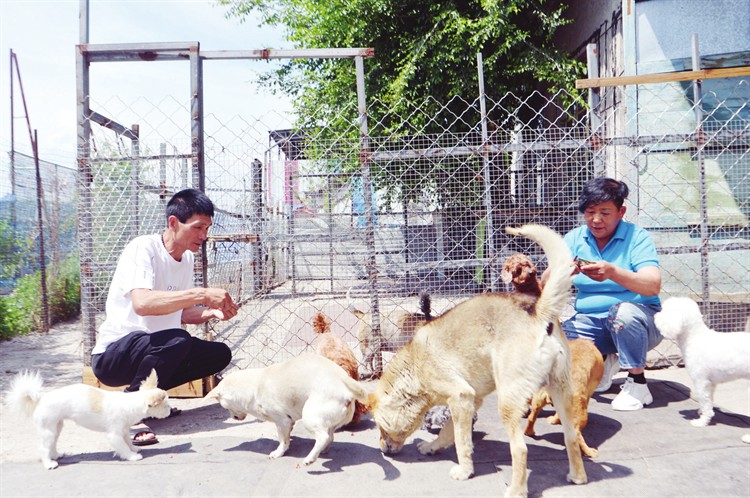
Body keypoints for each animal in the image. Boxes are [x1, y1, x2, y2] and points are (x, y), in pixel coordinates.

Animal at [5, 368, 172, 468]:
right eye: (165, 405)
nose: (171, 410)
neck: (130, 403)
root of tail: (41, 399)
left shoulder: (124, 431)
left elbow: (128, 442)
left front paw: (134, 448)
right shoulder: (114, 435)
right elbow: (122, 447)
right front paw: (132, 456)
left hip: (56, 428)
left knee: (51, 444)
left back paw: (56, 455)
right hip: (48, 430)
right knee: (43, 447)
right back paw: (49, 463)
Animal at [207, 352, 368, 464]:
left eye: (224, 406)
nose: (233, 417)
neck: (255, 386)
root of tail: (344, 380)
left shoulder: (282, 421)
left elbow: (283, 440)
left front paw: (279, 452)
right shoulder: (288, 421)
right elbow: (288, 435)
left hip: (310, 416)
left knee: (323, 437)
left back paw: (310, 458)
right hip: (327, 420)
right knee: (330, 436)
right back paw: (321, 451)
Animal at [370, 225, 588, 498]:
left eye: (380, 427)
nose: (382, 450)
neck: (414, 367)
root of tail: (538, 312)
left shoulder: (460, 398)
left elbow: (462, 442)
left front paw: (464, 471)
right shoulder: (470, 400)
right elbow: (448, 432)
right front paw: (433, 446)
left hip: (508, 402)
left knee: (520, 449)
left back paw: (516, 490)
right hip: (561, 392)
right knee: (571, 435)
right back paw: (577, 476)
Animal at [656, 296, 750, 428]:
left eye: (664, 311)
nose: (655, 316)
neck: (693, 337)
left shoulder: (701, 381)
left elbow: (705, 402)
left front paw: (702, 421)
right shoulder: (711, 384)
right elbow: (708, 401)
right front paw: (701, 412)